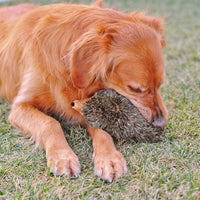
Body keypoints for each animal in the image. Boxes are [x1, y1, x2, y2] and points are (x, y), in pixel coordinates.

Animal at [0, 0, 167, 181]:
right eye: (135, 89)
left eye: (160, 84)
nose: (161, 123)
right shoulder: (20, 106)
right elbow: (50, 123)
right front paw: (62, 156)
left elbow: (101, 124)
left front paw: (109, 158)